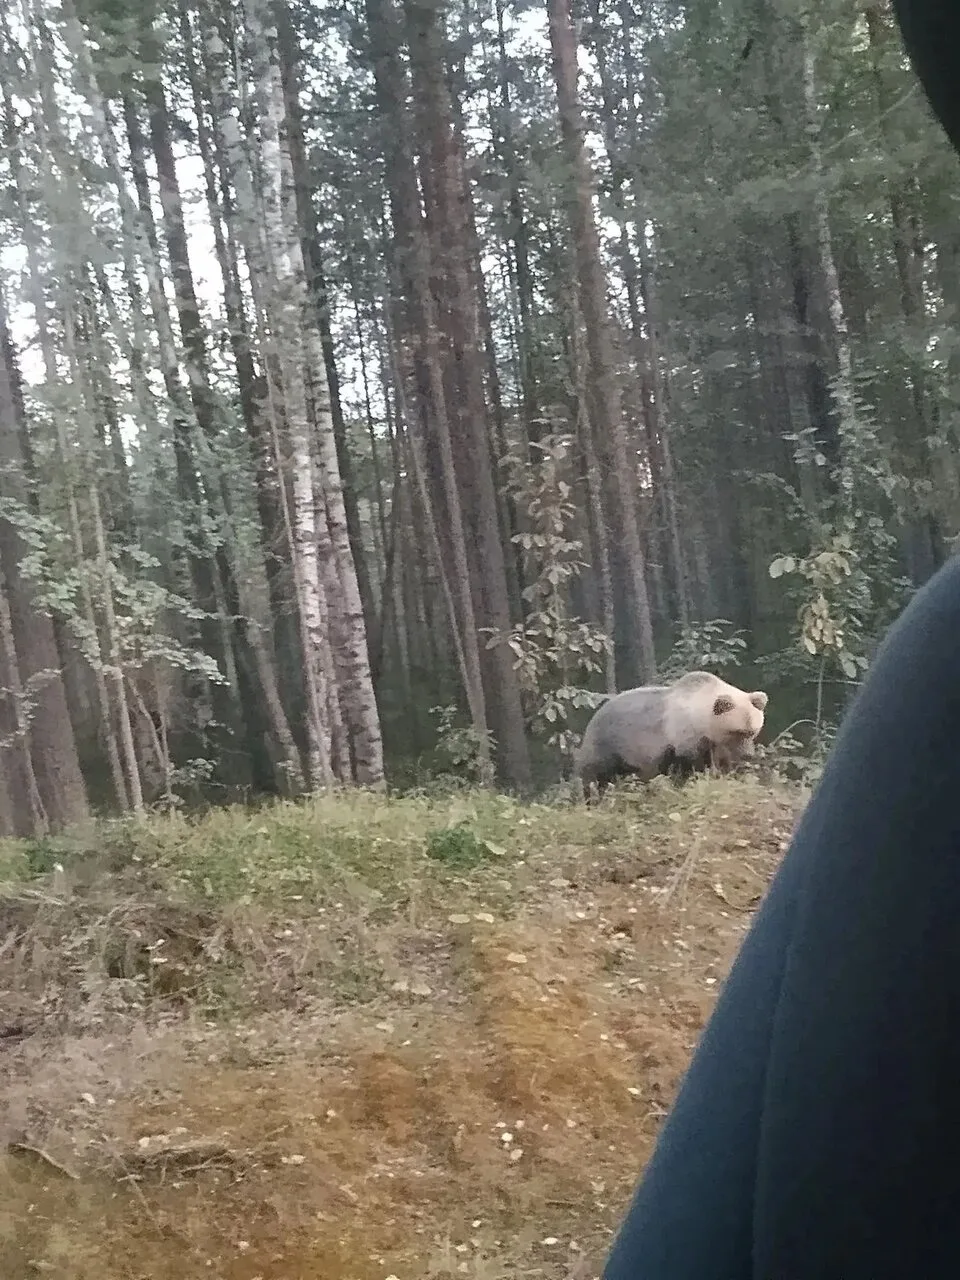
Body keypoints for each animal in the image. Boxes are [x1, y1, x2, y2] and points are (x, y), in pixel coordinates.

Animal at [572, 670, 768, 803]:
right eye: (738, 731)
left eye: (753, 731)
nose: (748, 755)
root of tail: (595, 714)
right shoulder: (681, 739)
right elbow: (689, 767)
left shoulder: (713, 743)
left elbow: (720, 764)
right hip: (607, 744)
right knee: (594, 776)